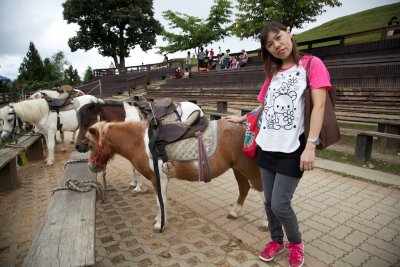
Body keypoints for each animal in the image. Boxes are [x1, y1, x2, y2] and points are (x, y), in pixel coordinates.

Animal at [85, 120, 266, 231]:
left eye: (91, 145)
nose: (91, 166)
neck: (141, 142)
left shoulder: (158, 179)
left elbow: (161, 202)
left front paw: (160, 224)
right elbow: (161, 202)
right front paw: (159, 220)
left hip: (249, 169)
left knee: (263, 193)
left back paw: (264, 223)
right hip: (237, 169)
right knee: (244, 188)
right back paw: (234, 212)